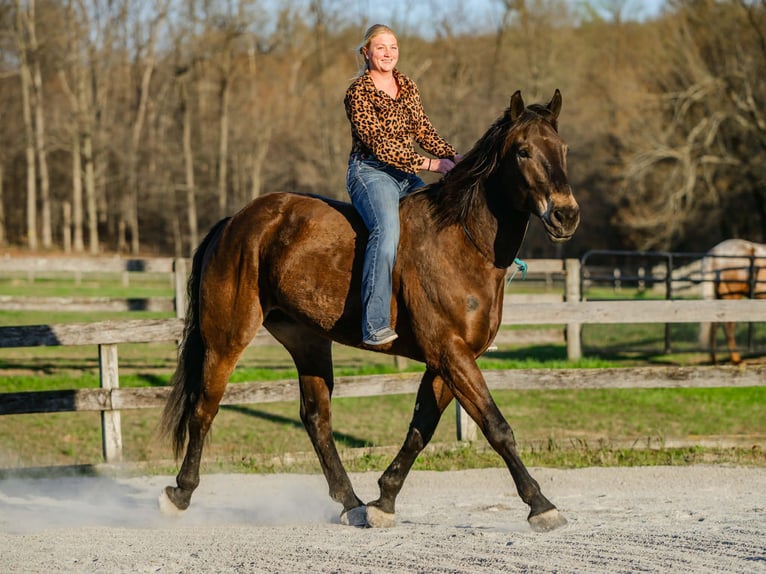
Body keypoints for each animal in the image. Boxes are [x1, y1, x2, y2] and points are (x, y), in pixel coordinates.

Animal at [158, 90, 579, 532]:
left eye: (563, 149)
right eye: (523, 151)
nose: (566, 215)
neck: (462, 243)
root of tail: (235, 222)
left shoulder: (447, 360)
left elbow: (420, 429)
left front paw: (384, 500)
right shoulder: (451, 353)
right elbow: (496, 426)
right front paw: (541, 505)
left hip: (307, 340)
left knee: (317, 419)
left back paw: (352, 502)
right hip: (227, 338)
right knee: (205, 408)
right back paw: (180, 494)